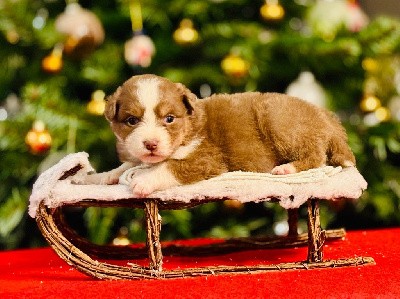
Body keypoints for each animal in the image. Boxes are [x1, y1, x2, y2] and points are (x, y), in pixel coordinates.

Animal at [85, 74, 356, 198]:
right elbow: (124, 166)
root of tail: (326, 116)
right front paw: (102, 176)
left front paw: (143, 181)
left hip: (280, 120)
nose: (150, 143)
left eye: (169, 119)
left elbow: (170, 167)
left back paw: (286, 169)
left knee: (316, 156)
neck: (189, 127)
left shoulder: (207, 157)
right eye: (132, 121)